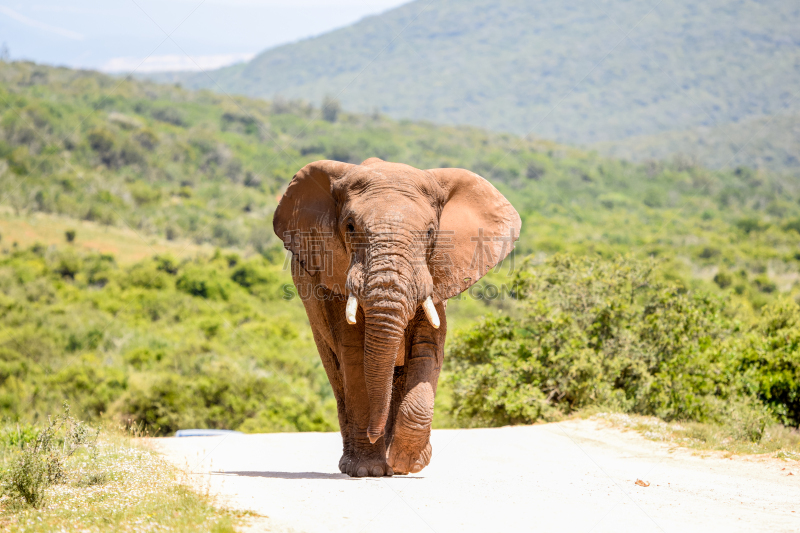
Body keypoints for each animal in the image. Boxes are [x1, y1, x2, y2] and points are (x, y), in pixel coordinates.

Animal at [272, 158, 520, 478]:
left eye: (430, 233)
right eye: (350, 227)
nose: (373, 434)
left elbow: (427, 351)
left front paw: (406, 462)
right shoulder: (333, 282)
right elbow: (355, 358)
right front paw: (368, 470)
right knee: (338, 375)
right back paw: (357, 463)